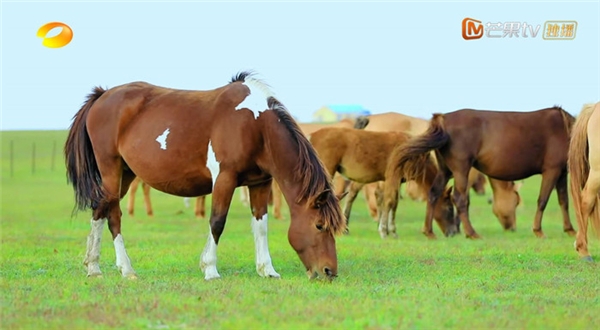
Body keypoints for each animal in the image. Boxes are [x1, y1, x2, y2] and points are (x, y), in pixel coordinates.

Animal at [63, 71, 344, 280]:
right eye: (319, 225)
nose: (329, 271)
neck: (256, 126)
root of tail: (102, 95)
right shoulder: (225, 179)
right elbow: (217, 221)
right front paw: (209, 269)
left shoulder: (260, 183)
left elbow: (261, 226)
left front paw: (267, 270)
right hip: (110, 170)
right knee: (113, 214)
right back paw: (127, 269)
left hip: (125, 173)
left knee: (99, 209)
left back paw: (93, 266)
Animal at [310, 127, 454, 238]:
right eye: (449, 208)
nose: (453, 232)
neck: (412, 151)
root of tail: (313, 136)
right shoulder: (392, 177)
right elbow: (389, 201)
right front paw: (384, 231)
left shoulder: (395, 181)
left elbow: (394, 203)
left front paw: (392, 231)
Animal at [394, 107, 576, 238]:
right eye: (516, 202)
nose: (511, 228)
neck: (565, 129)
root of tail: (443, 120)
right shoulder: (551, 171)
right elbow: (543, 200)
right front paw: (538, 230)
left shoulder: (561, 173)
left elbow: (564, 201)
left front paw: (570, 230)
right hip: (460, 170)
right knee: (459, 199)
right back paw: (471, 233)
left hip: (445, 171)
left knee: (433, 194)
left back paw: (429, 231)